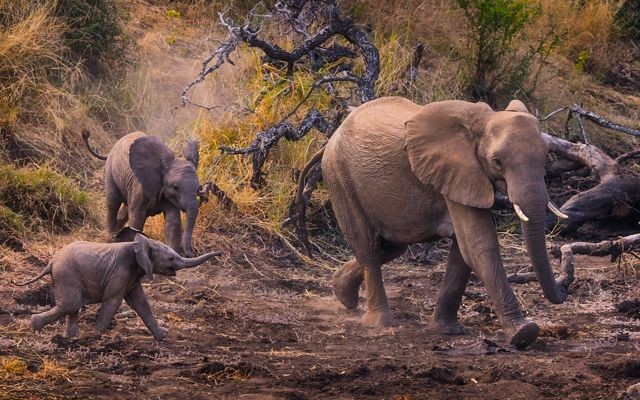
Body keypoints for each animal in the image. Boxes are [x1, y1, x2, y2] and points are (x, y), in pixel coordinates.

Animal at [13, 234, 220, 341]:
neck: (140, 243)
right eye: (171, 258)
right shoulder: (120, 271)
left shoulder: (132, 275)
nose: (219, 254)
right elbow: (113, 301)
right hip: (67, 274)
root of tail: (51, 261)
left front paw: (162, 336)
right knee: (71, 305)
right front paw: (95, 337)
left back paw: (69, 338)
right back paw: (36, 327)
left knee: (72, 307)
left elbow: (141, 303)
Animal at [297, 96, 571, 349]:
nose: (564, 289)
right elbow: (479, 245)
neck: (483, 120)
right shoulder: (459, 170)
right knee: (367, 246)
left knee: (389, 247)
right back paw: (380, 323)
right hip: (340, 177)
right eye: (497, 162)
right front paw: (523, 334)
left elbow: (464, 249)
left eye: (546, 157)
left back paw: (343, 295)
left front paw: (447, 331)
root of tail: (331, 138)